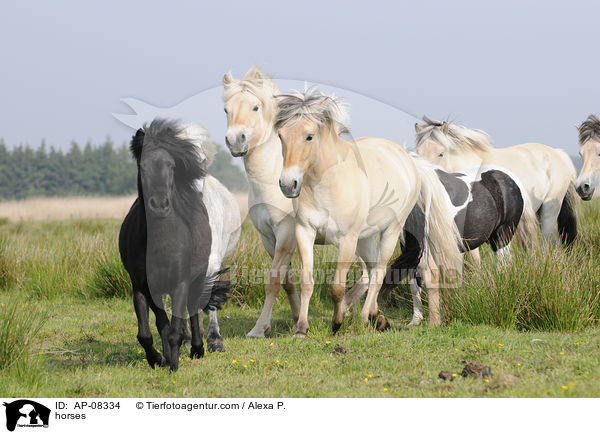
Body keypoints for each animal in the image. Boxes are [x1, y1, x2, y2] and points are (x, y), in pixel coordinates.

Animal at [117, 118, 239, 370]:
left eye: (172, 167)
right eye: (143, 167)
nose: (159, 205)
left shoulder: (184, 281)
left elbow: (178, 324)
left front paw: (175, 362)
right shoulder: (142, 286)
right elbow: (151, 330)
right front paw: (159, 359)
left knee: (194, 308)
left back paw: (199, 347)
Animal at [274, 89, 462, 336]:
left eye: (309, 136)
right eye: (281, 136)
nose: (288, 185)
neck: (325, 183)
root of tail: (409, 161)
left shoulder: (347, 239)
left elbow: (337, 287)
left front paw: (336, 323)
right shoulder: (305, 231)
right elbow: (307, 281)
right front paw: (302, 329)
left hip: (392, 232)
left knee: (381, 272)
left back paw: (367, 318)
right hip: (367, 238)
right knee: (379, 271)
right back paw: (382, 317)